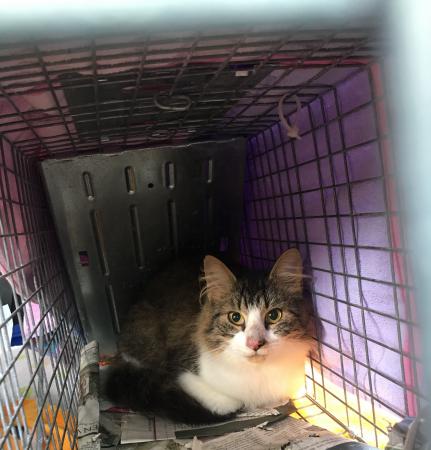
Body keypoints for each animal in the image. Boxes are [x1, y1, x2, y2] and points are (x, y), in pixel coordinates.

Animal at [104, 248, 314, 424]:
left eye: (273, 315)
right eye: (235, 317)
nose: (255, 343)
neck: (257, 373)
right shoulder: (182, 370)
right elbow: (229, 401)